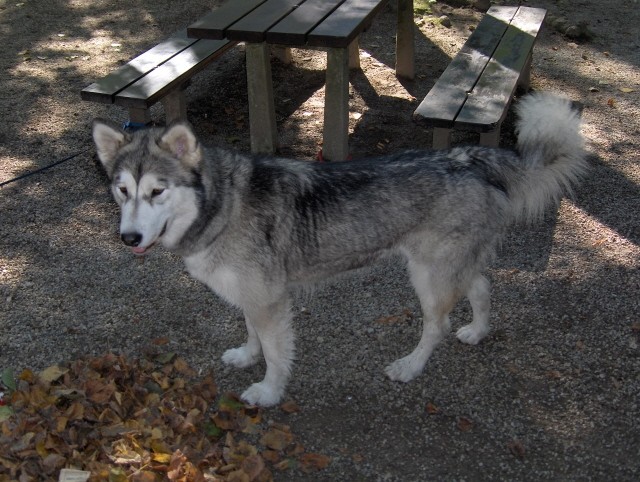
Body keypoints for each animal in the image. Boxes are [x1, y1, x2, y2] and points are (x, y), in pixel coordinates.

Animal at [92, 92, 588, 404]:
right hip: (453, 266)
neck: (223, 204)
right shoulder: (251, 295)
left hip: (428, 276)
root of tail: (471, 157)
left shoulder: (270, 300)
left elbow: (276, 354)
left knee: (437, 325)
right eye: (122, 190)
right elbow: (252, 334)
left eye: (157, 192)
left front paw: (269, 392)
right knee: (482, 287)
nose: (128, 239)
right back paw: (478, 331)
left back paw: (411, 366)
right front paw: (247, 356)